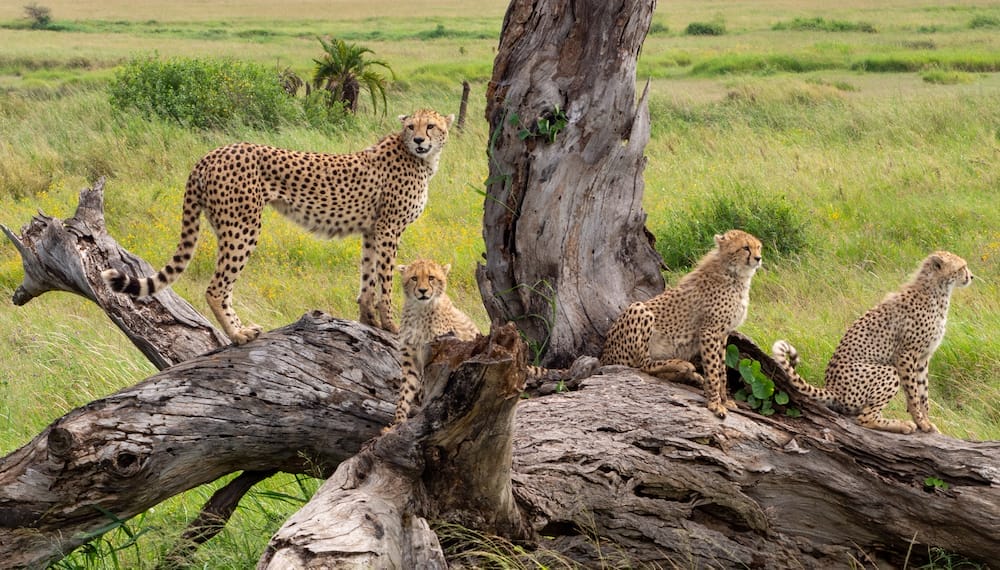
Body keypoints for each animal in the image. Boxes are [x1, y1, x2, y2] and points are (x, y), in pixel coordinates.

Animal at [101, 110, 454, 342]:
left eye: (431, 126)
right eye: (411, 126)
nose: (420, 140)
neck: (419, 158)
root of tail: (210, 154)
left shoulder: (371, 230)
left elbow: (367, 280)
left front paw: (369, 322)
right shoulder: (389, 229)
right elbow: (385, 281)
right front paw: (391, 326)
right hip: (243, 226)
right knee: (217, 288)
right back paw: (239, 334)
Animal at [596, 230, 760, 418]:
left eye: (758, 247)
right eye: (745, 248)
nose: (759, 258)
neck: (734, 274)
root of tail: (604, 357)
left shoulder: (723, 333)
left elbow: (722, 369)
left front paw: (725, 400)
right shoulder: (709, 331)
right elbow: (712, 370)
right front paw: (715, 403)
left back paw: (689, 376)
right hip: (639, 308)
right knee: (643, 364)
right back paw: (682, 366)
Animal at [768, 251, 972, 432]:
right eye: (961, 267)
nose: (971, 276)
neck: (938, 291)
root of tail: (832, 388)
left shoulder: (923, 358)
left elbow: (923, 394)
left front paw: (927, 421)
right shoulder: (906, 355)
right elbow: (914, 394)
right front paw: (920, 421)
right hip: (888, 372)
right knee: (865, 418)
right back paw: (902, 425)